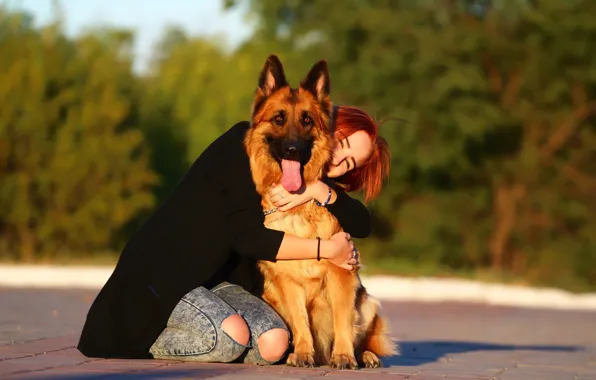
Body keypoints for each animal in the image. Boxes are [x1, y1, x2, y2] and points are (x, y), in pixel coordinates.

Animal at [242, 55, 396, 368]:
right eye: (279, 119)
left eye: (307, 121)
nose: (291, 150)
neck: (301, 207)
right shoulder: (287, 279)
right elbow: (301, 320)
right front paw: (302, 353)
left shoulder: (340, 275)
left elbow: (341, 320)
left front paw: (344, 356)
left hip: (367, 303)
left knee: (361, 334)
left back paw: (364, 356)